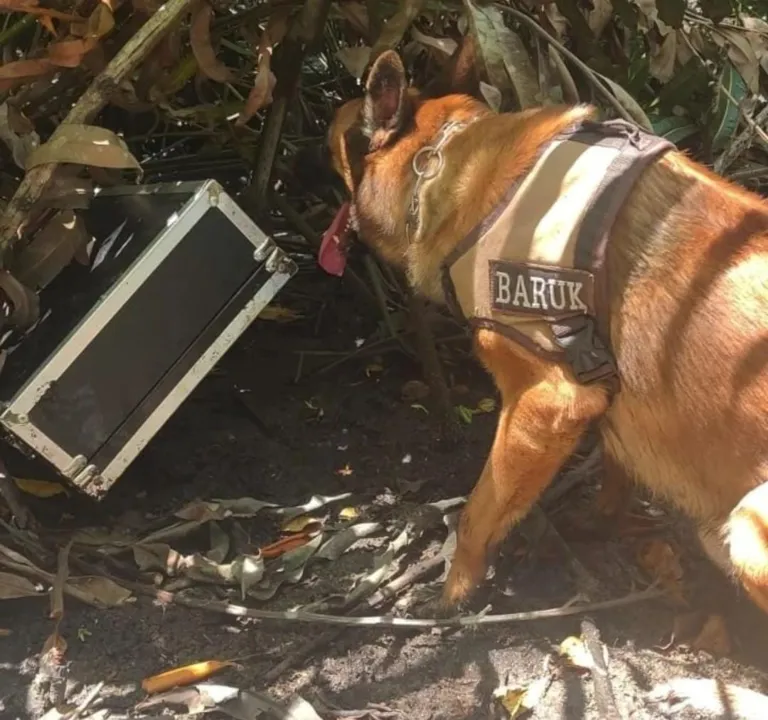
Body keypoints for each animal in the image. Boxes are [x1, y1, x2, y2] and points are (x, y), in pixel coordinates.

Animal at [320, 50, 768, 612]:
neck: (444, 162)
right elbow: (615, 475)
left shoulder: (546, 404)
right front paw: (601, 523)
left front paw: (455, 592)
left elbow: (479, 510)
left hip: (749, 527)